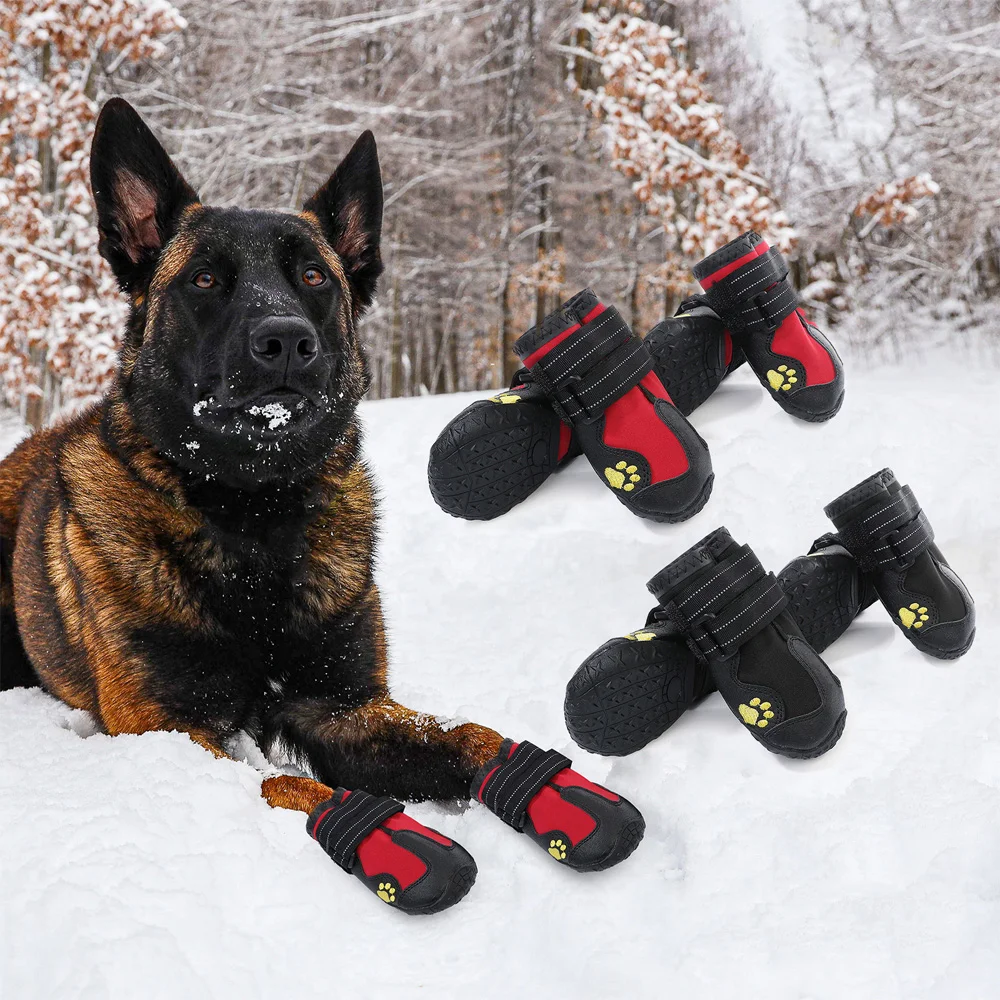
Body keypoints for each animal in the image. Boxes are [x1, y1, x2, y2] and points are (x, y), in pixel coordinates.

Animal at [0, 101, 640, 916]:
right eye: (204, 279)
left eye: (313, 276)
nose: (285, 342)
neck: (254, 520)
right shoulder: (167, 731)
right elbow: (287, 782)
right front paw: (395, 841)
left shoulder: (338, 705)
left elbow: (466, 734)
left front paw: (558, 794)